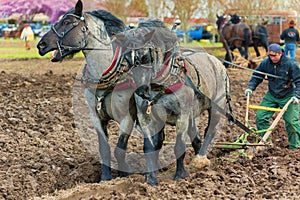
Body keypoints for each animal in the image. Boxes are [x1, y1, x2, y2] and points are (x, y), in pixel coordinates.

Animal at [37, 0, 135, 181]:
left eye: (67, 22)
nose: (41, 45)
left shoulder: (128, 117)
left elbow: (119, 150)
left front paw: (123, 175)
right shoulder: (96, 117)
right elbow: (104, 149)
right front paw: (105, 178)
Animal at [113, 19, 231, 186]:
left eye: (146, 57)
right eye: (127, 60)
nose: (141, 91)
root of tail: (217, 62)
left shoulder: (182, 115)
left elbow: (179, 145)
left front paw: (180, 174)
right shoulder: (145, 116)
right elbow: (149, 147)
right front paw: (151, 179)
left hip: (217, 107)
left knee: (210, 131)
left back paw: (201, 160)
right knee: (196, 137)